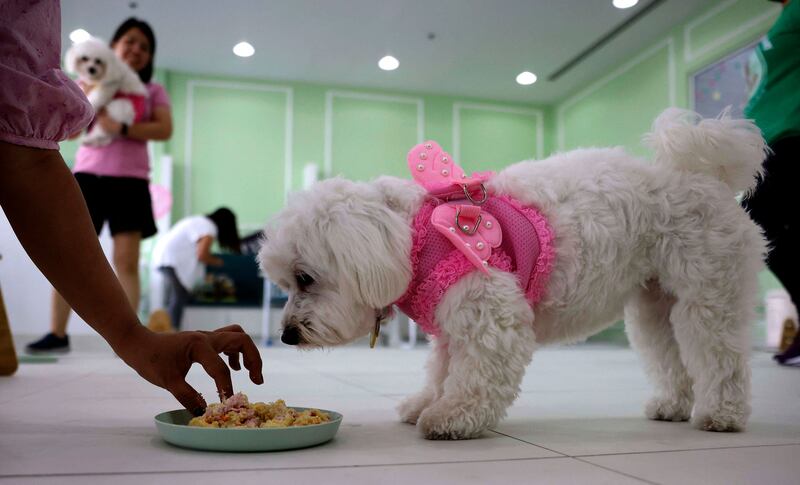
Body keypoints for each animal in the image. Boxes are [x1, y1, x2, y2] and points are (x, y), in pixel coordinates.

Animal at [260, 108, 768, 438]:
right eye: (285, 284)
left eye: (304, 278)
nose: (286, 335)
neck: (416, 236)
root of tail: (706, 176)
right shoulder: (451, 324)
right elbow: (441, 369)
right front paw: (425, 403)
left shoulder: (490, 311)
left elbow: (476, 375)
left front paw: (451, 417)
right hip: (654, 306)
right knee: (670, 354)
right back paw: (671, 407)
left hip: (709, 291)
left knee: (720, 355)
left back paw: (722, 414)